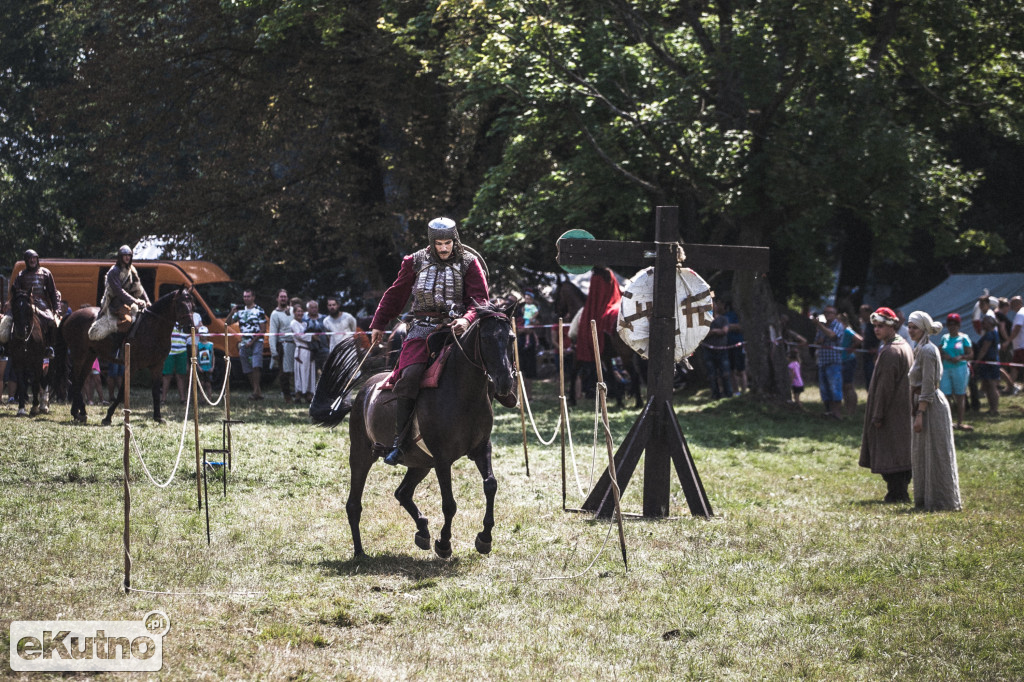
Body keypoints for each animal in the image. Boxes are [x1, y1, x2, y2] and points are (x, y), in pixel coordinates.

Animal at [59, 286, 195, 425]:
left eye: (192, 304)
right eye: (180, 304)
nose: (189, 327)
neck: (152, 328)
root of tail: (71, 315)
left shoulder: (157, 366)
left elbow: (156, 390)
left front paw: (158, 417)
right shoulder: (132, 366)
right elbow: (122, 392)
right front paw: (108, 417)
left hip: (90, 356)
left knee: (80, 380)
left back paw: (79, 413)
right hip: (79, 355)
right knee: (75, 380)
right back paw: (78, 412)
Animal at [309, 301, 520, 557]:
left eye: (510, 338)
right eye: (486, 338)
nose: (504, 382)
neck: (463, 393)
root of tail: (364, 391)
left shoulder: (481, 449)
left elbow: (490, 484)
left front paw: (484, 537)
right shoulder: (442, 459)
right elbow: (449, 503)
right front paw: (444, 543)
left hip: (420, 463)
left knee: (402, 492)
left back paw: (422, 530)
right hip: (361, 454)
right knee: (354, 504)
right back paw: (360, 552)